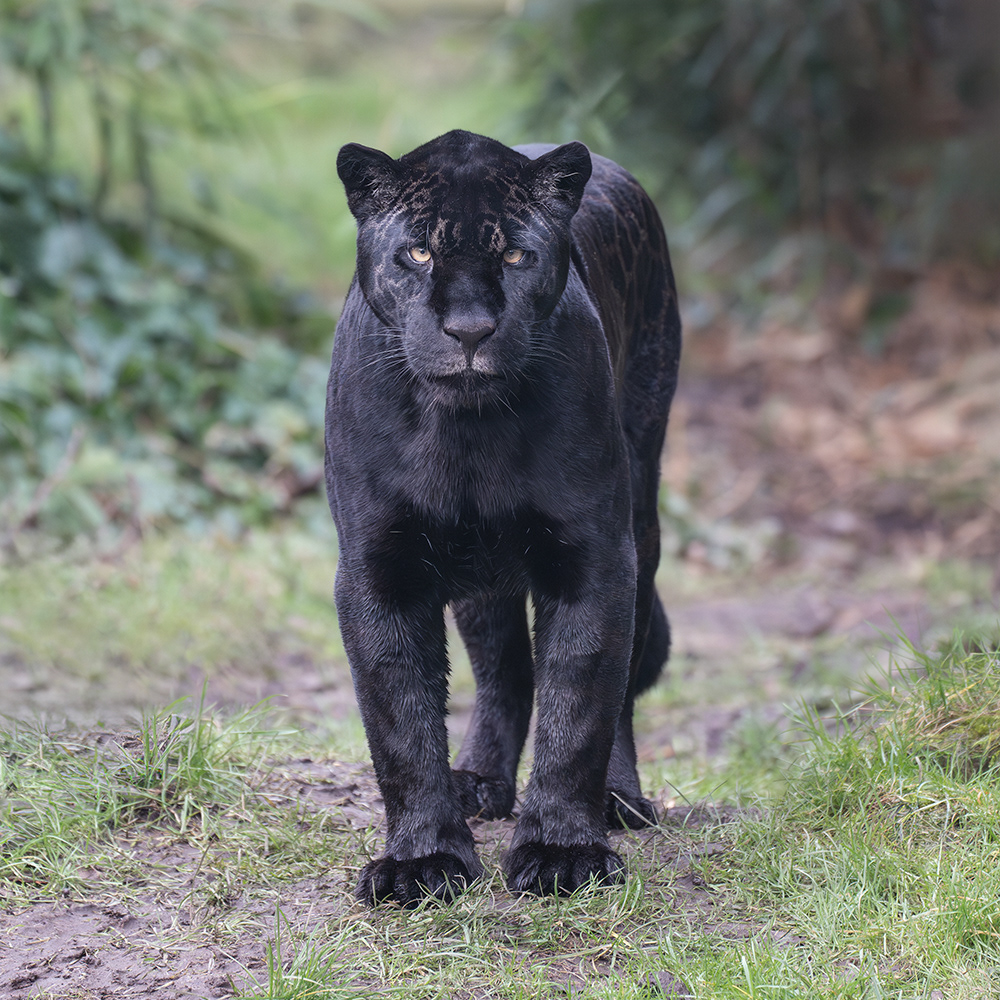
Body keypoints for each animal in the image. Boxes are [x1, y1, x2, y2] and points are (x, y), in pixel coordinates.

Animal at [325, 129, 681, 905]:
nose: (469, 329)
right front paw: (423, 860)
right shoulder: (380, 565)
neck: (467, 431)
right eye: (418, 253)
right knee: (504, 671)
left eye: (517, 257)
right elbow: (399, 718)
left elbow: (580, 704)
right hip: (477, 571)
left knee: (615, 686)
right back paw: (479, 782)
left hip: (641, 517)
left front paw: (562, 851)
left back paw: (618, 798)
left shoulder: (593, 555)